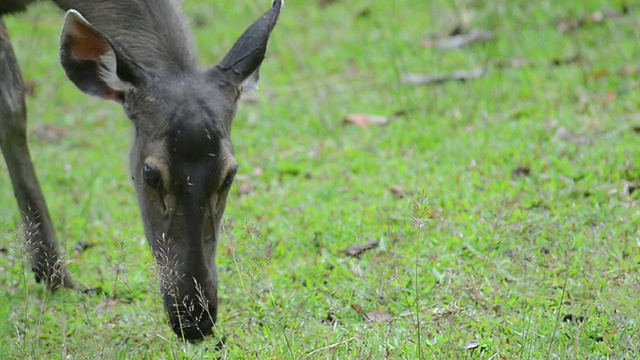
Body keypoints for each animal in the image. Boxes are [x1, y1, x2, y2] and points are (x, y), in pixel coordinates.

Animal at [0, 0, 284, 340]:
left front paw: (55, 276)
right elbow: (12, 102)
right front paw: (55, 274)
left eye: (230, 173)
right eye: (151, 173)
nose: (195, 320)